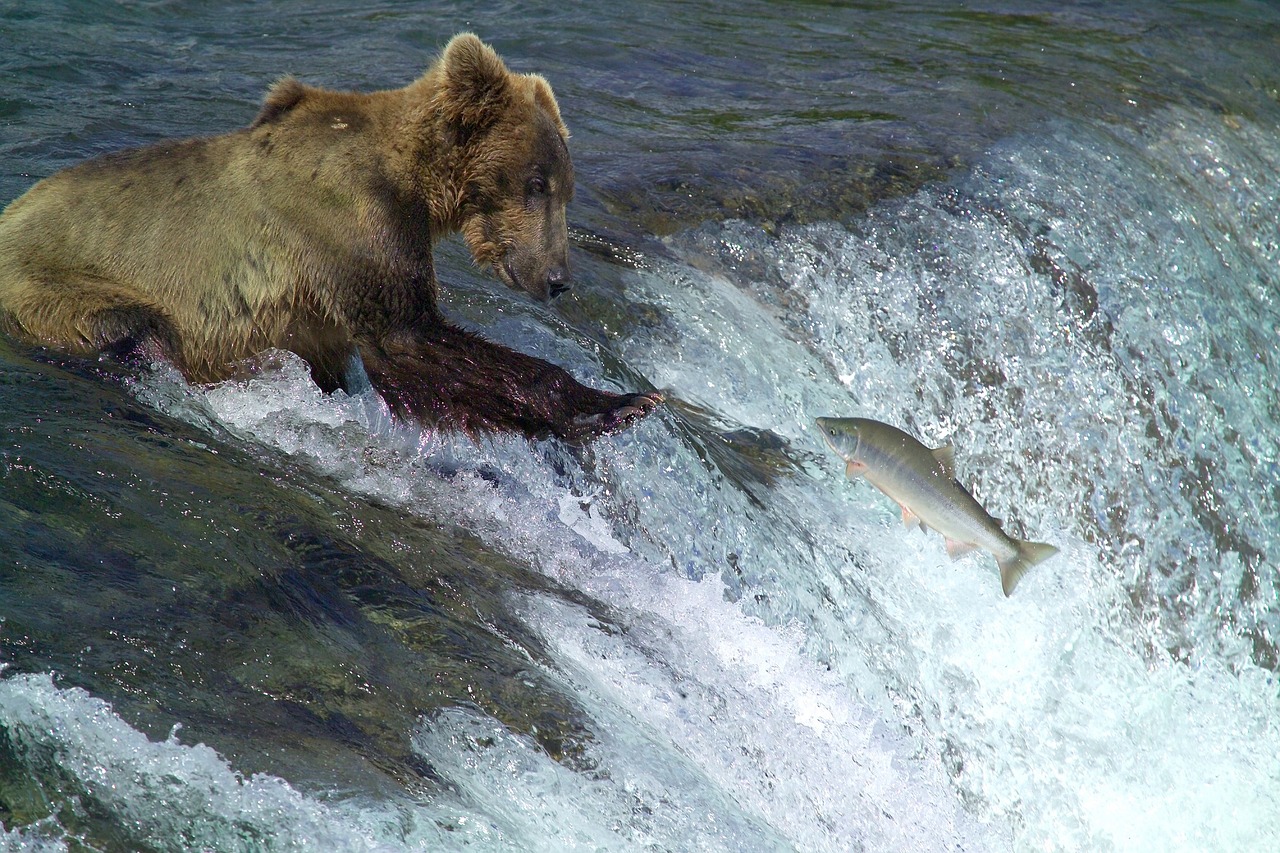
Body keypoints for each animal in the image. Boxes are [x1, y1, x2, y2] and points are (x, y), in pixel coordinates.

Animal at [0, 31, 660, 438]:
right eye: (536, 182)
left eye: (563, 189)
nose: (558, 278)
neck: (413, 185)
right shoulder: (350, 228)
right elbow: (410, 339)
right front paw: (619, 403)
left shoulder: (323, 301)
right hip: (53, 286)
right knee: (131, 327)